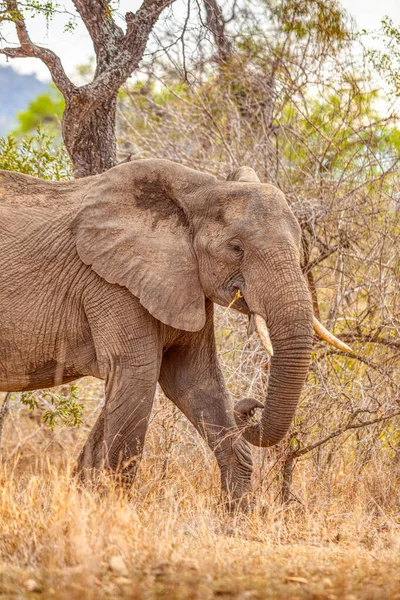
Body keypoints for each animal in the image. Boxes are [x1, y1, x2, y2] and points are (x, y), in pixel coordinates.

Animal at [0, 158, 346, 506]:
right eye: (236, 248)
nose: (252, 407)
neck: (201, 192)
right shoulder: (110, 282)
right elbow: (137, 375)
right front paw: (114, 509)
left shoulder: (186, 282)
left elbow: (195, 379)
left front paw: (241, 513)